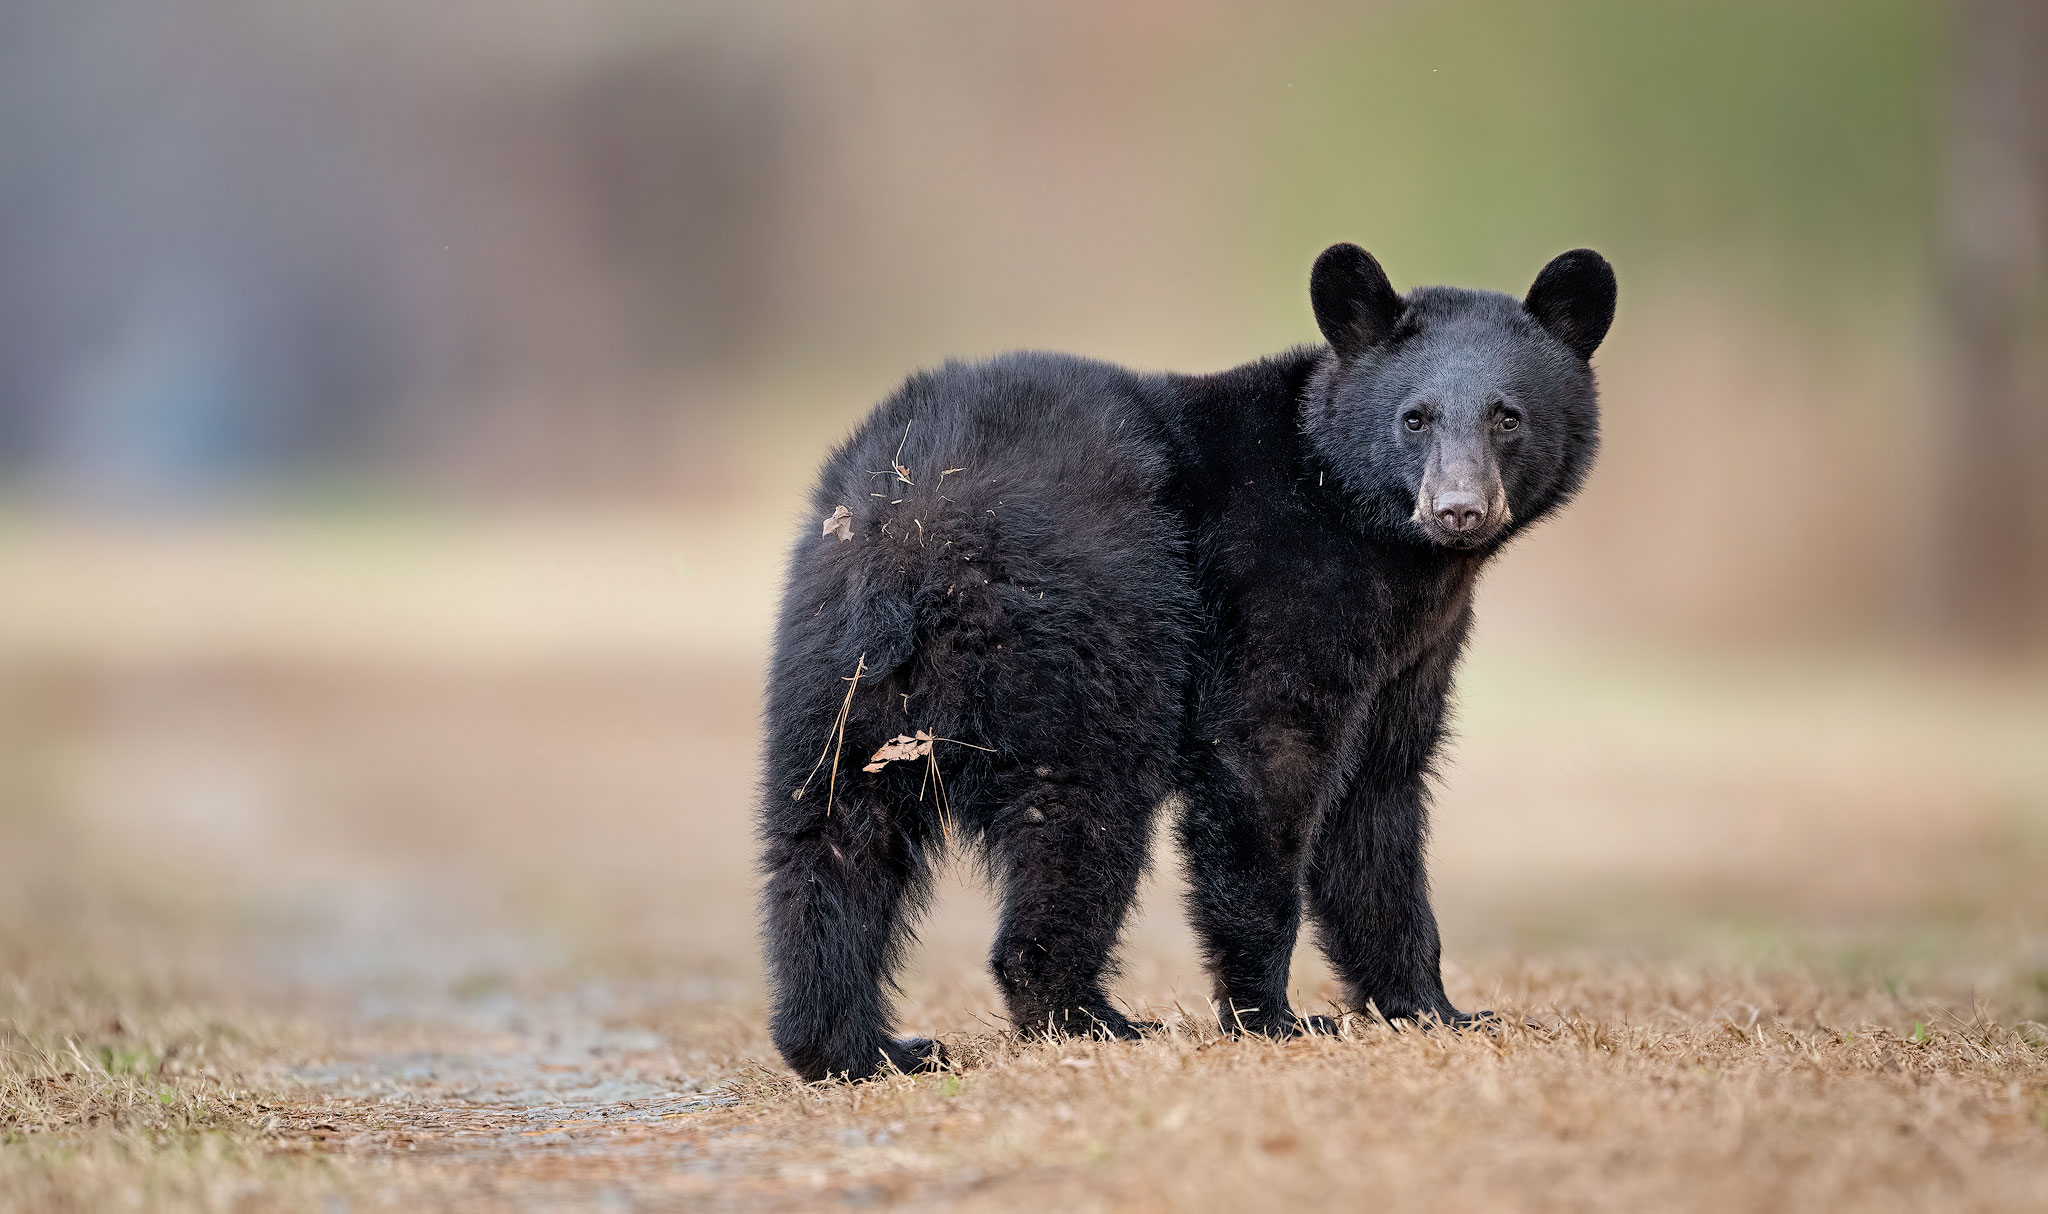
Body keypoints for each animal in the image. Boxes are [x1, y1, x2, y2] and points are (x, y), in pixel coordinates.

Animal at [757, 241, 1613, 1072]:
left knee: (830, 834)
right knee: (1083, 805)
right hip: (1090, 629)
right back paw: (1087, 1016)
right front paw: (1273, 1017)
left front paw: (1436, 1008)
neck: (1374, 536)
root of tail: (919, 511)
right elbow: (1265, 761)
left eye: (1508, 416)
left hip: (837, 661)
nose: (1459, 509)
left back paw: (857, 1047)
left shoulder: (1411, 654)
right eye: (1414, 419)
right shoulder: (1279, 586)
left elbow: (1379, 802)